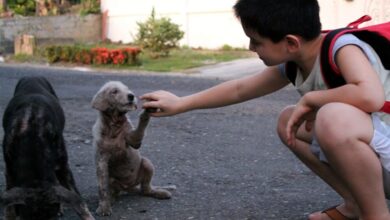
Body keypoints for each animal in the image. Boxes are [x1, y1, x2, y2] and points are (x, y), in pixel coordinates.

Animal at [1, 76, 94, 219]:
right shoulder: (10, 170)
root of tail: (32, 76)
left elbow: (78, 200)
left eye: (52, 218)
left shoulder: (63, 167)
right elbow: (10, 204)